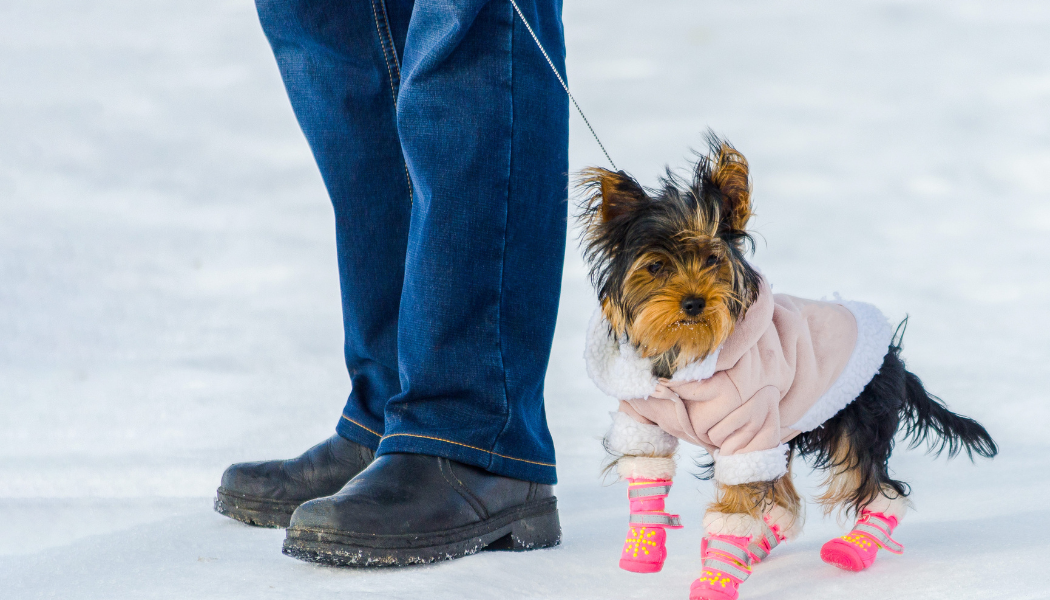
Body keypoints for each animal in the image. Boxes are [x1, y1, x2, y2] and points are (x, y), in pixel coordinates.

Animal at [579, 132, 995, 600]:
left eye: (713, 260)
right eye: (655, 267)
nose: (694, 302)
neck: (687, 355)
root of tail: (891, 355)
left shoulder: (749, 430)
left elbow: (736, 506)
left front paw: (716, 579)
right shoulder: (643, 417)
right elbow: (646, 470)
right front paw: (644, 548)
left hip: (856, 417)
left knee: (876, 487)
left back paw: (853, 549)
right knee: (785, 502)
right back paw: (760, 545)